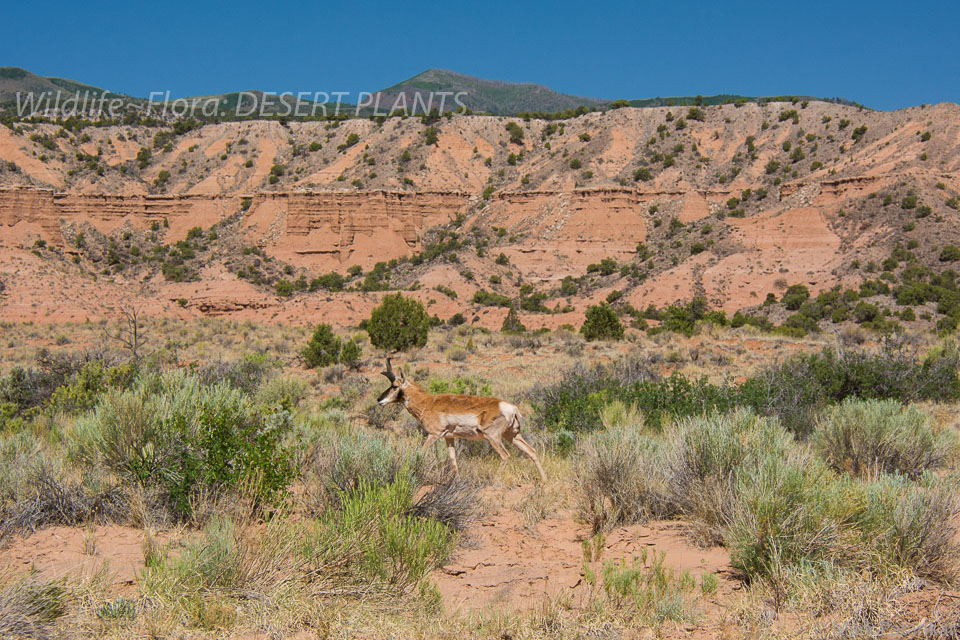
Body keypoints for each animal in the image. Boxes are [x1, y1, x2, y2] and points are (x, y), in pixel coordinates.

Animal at [380, 358, 548, 482]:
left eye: (394, 386)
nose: (379, 400)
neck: (428, 403)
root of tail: (511, 407)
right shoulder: (448, 437)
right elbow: (453, 460)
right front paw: (457, 480)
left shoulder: (434, 434)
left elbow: (421, 452)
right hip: (512, 436)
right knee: (532, 451)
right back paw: (544, 481)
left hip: (493, 437)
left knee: (505, 455)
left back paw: (495, 480)